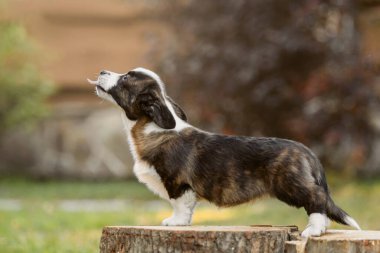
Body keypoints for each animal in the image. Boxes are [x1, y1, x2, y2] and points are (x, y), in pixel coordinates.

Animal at [87, 67, 360, 237]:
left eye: (126, 79)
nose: (101, 72)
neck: (152, 127)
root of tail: (308, 152)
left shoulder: (176, 182)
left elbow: (179, 205)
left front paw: (175, 223)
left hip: (290, 185)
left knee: (318, 199)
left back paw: (313, 230)